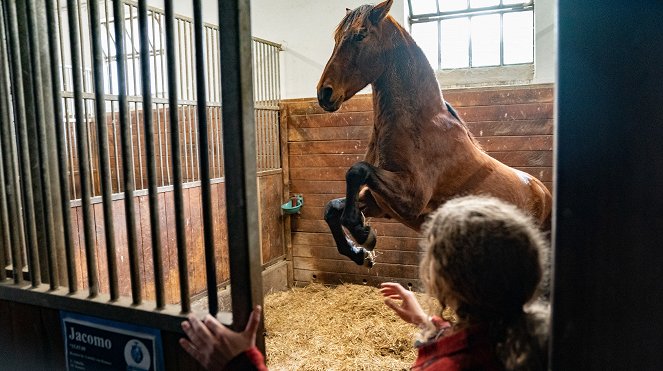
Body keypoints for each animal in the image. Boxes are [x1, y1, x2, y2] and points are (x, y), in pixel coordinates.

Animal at [320, 0, 552, 268]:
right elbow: (332, 208)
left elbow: (357, 171)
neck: (420, 126)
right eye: (336, 38)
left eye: (360, 35)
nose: (324, 93)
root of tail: (544, 193)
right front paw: (361, 251)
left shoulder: (411, 199)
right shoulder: (380, 203)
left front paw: (363, 234)